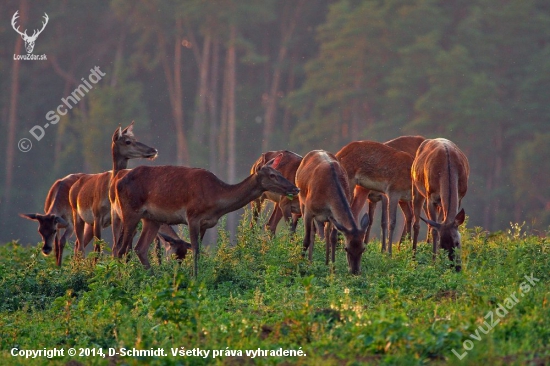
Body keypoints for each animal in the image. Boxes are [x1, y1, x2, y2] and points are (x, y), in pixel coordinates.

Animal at [113, 153, 302, 276]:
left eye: (280, 172)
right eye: (272, 175)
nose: (295, 188)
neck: (215, 200)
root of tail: (117, 182)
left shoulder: (205, 223)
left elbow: (199, 248)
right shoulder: (192, 216)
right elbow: (196, 249)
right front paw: (194, 277)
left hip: (151, 219)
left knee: (140, 248)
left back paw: (153, 277)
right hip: (130, 211)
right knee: (120, 249)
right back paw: (121, 278)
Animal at [414, 137, 470, 272]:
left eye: (457, 243)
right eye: (442, 245)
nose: (456, 268)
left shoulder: (460, 196)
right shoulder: (431, 197)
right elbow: (435, 230)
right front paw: (434, 262)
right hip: (416, 188)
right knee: (417, 222)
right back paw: (413, 256)